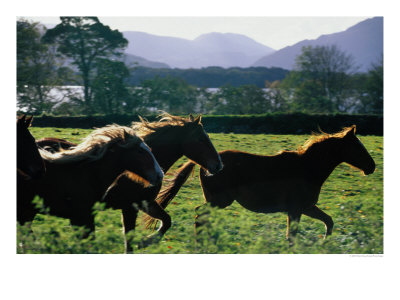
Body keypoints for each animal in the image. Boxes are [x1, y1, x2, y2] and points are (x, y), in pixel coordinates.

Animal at [34, 113, 222, 252]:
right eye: (201, 139)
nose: (218, 165)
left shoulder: (146, 203)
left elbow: (167, 221)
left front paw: (146, 241)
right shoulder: (131, 207)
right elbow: (130, 239)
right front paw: (144, 242)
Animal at [147, 125, 376, 245]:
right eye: (357, 147)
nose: (372, 167)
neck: (307, 167)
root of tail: (209, 163)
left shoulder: (306, 208)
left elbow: (328, 222)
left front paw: (324, 244)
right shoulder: (297, 209)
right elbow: (293, 236)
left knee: (202, 218)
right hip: (220, 200)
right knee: (199, 215)